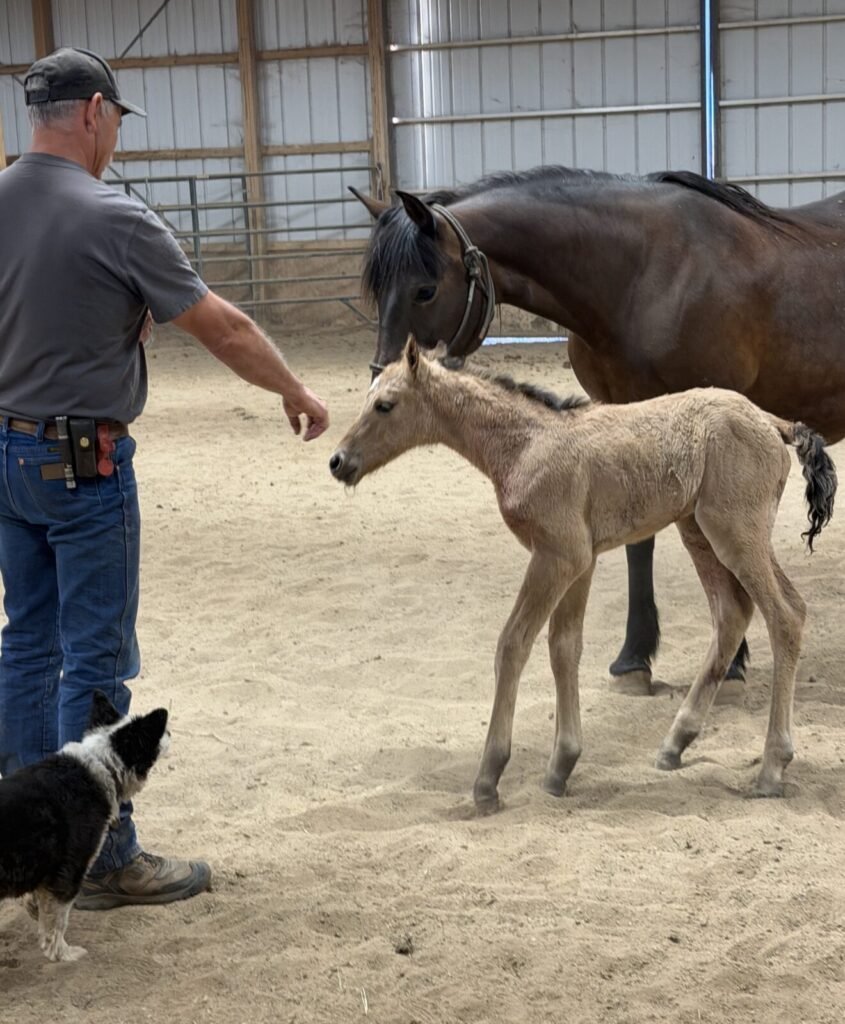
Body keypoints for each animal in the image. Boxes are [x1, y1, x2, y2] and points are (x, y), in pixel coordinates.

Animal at [329, 337, 836, 814]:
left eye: (385, 404)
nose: (338, 461)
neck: (525, 444)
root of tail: (772, 421)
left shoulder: (557, 556)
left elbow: (513, 644)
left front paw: (489, 779)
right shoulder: (581, 561)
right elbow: (564, 647)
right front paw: (561, 766)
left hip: (735, 533)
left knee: (785, 615)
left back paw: (771, 768)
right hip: (700, 531)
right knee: (733, 613)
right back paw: (675, 744)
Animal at [350, 166, 845, 695]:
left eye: (424, 290)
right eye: (377, 293)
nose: (382, 376)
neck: (645, 275)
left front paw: (732, 662)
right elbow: (638, 544)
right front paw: (635, 656)